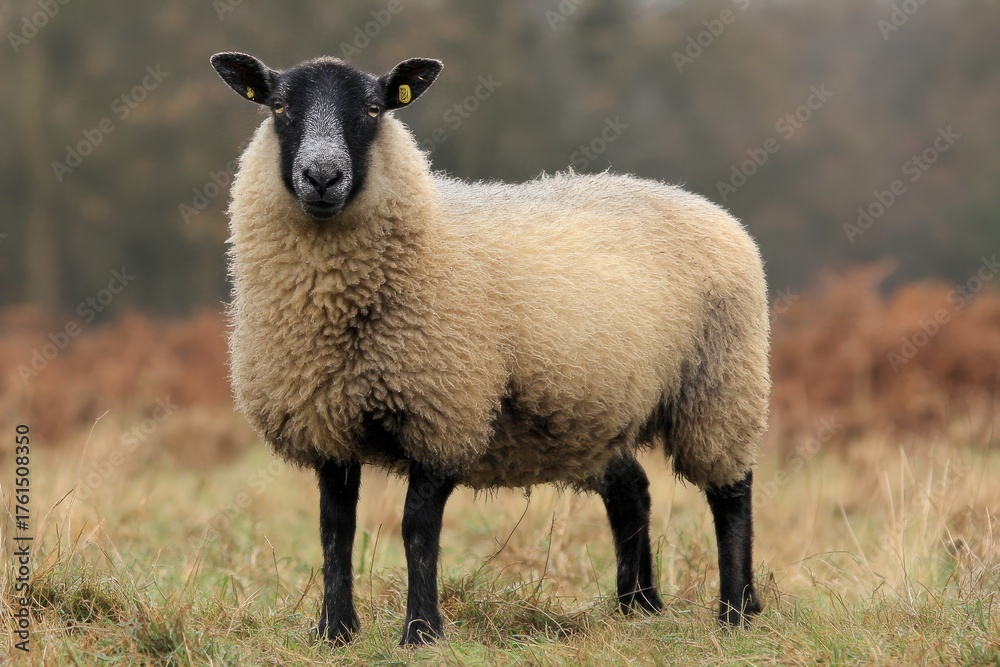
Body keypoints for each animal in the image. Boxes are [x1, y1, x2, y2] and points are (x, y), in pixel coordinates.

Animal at [210, 51, 771, 647]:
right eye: (278, 106)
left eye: (373, 108)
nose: (322, 177)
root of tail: (710, 207)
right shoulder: (327, 421)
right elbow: (334, 530)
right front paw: (335, 631)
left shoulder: (446, 411)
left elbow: (417, 528)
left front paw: (420, 632)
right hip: (593, 411)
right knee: (631, 490)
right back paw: (638, 605)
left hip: (721, 384)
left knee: (732, 494)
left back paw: (736, 609)